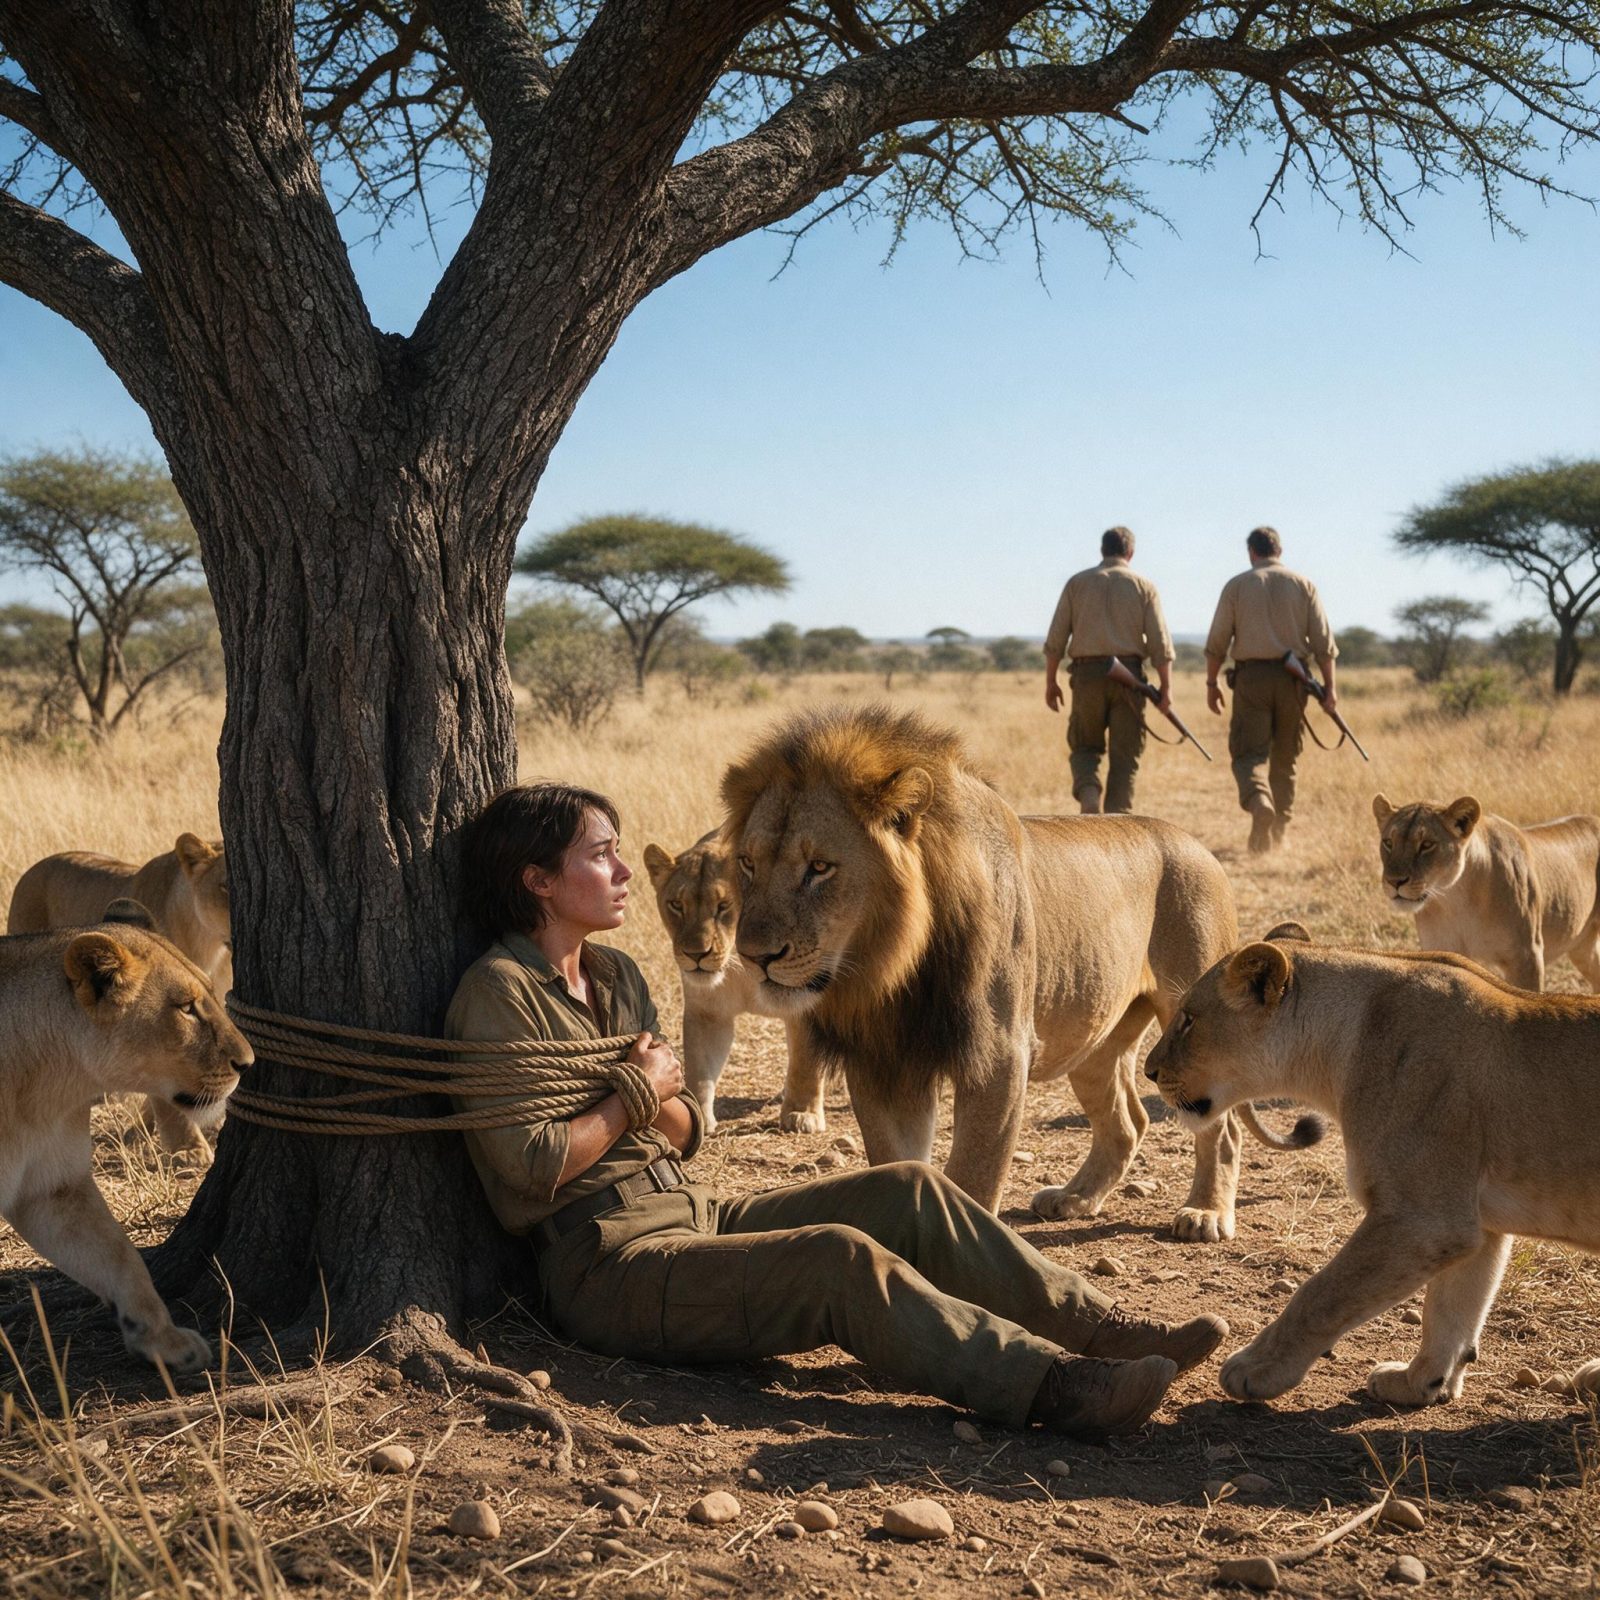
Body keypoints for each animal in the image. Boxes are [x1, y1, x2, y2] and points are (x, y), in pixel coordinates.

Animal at [0, 901, 252, 1372]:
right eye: (186, 1008)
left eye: (213, 993)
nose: (247, 1063)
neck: (45, 1085)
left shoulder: (53, 1188)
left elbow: (120, 1256)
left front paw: (163, 1339)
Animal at [642, 830, 826, 1135]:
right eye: (677, 905)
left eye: (723, 906)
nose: (696, 954)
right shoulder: (708, 1013)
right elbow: (700, 1067)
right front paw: (699, 1115)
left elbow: (805, 1063)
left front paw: (802, 1114)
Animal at [722, 704, 1318, 1240]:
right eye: (747, 864)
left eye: (820, 867)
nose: (752, 956)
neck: (893, 970)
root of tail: (1200, 847)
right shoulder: (883, 1060)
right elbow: (895, 1162)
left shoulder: (999, 1056)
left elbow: (973, 1177)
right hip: (1093, 1037)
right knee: (1128, 1121)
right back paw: (1076, 1198)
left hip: (1196, 1024)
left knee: (1222, 1129)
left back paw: (1205, 1214)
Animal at [1145, 926, 1600, 1406]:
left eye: (1189, 1018)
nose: (1149, 1071)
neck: (1337, 1052)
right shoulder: (1473, 1224)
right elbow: (1451, 1311)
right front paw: (1420, 1382)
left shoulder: (1423, 1219)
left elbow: (1322, 1292)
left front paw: (1257, 1368)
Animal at [1373, 793, 1600, 991]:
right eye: (1388, 842)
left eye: (1427, 844)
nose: (1394, 881)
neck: (1455, 899)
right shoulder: (1443, 951)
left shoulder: (1528, 957)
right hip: (1582, 949)